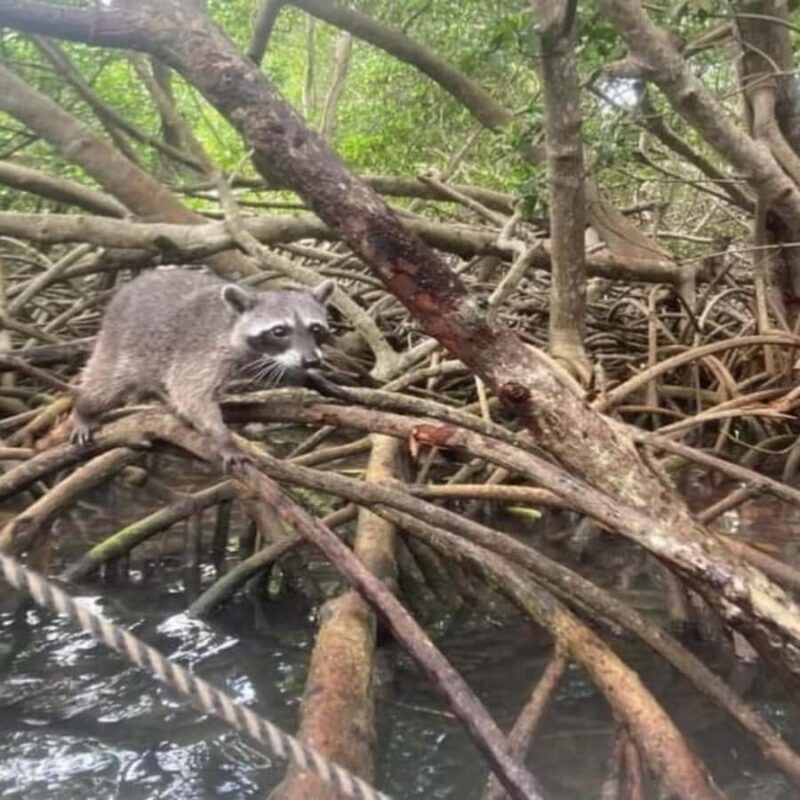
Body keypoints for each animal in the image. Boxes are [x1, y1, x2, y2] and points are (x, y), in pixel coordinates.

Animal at [70, 268, 335, 468]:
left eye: (315, 328)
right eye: (279, 331)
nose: (311, 360)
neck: (234, 323)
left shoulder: (257, 358)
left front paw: (319, 382)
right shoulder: (203, 352)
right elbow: (192, 393)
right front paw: (223, 438)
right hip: (120, 343)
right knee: (105, 385)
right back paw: (84, 409)